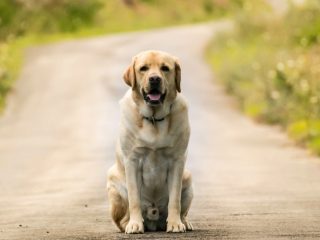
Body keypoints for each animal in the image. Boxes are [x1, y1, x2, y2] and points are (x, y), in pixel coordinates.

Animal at [107, 50, 192, 232]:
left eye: (165, 68)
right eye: (143, 68)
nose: (154, 79)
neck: (154, 119)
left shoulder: (177, 161)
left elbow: (175, 199)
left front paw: (175, 224)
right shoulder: (132, 160)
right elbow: (134, 199)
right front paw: (135, 224)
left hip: (188, 178)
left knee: (183, 210)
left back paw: (185, 222)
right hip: (114, 186)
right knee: (121, 220)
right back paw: (130, 224)